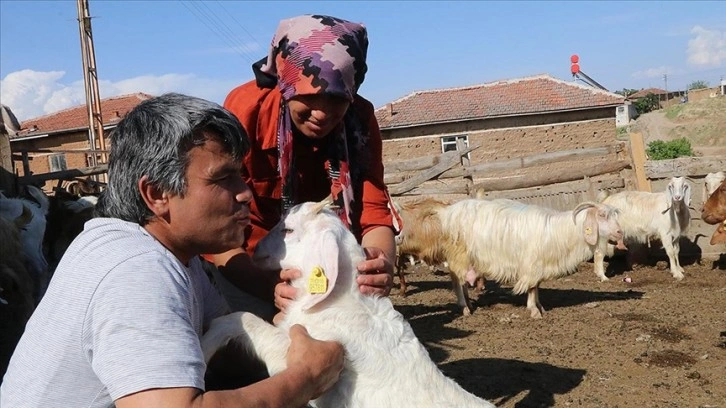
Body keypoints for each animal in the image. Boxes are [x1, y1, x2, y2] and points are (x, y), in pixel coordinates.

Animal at [202, 201, 498, 408]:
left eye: (288, 229)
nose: (255, 249)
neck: (341, 303)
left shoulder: (297, 353)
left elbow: (244, 319)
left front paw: (205, 346)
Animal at [438, 198, 624, 318]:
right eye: (601, 215)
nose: (620, 232)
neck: (559, 233)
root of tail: (448, 213)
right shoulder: (531, 264)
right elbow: (532, 287)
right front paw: (534, 310)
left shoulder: (539, 266)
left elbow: (536, 286)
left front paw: (540, 307)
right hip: (458, 255)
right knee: (458, 281)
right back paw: (464, 308)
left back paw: (469, 304)